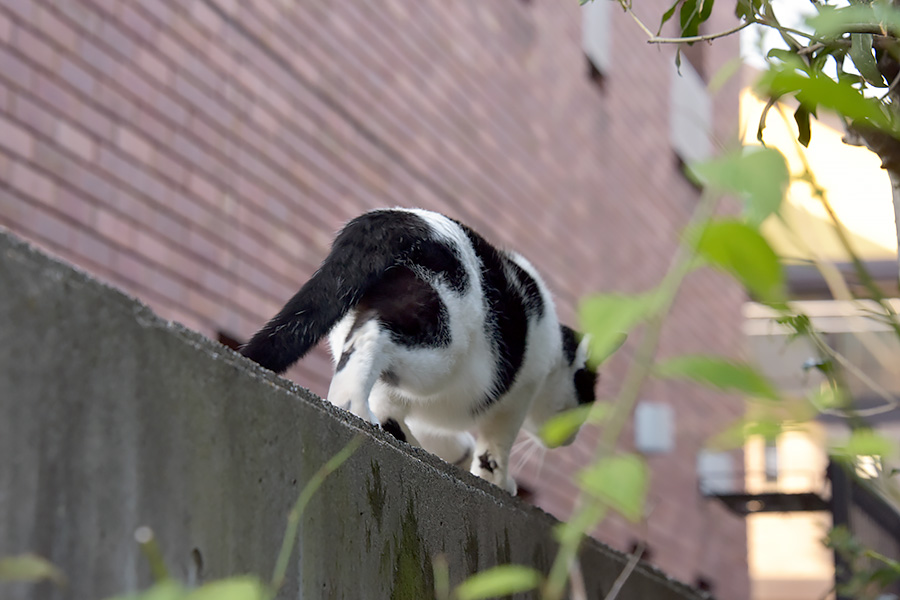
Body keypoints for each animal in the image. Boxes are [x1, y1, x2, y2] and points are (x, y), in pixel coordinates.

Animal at [243, 206, 600, 492]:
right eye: (587, 404)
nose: (572, 437)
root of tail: (397, 218)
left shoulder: (404, 399)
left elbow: (399, 414)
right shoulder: (520, 394)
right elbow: (495, 447)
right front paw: (498, 480)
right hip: (437, 349)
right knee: (371, 337)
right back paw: (352, 406)